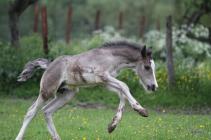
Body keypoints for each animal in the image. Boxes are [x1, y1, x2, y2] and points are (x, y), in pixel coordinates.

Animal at [15, 40, 157, 140]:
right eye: (147, 67)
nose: (154, 87)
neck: (110, 56)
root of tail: (49, 65)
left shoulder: (104, 82)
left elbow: (122, 93)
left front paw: (112, 125)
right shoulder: (103, 76)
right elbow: (124, 86)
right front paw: (141, 110)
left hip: (67, 95)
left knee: (47, 111)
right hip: (47, 91)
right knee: (31, 112)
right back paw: (19, 137)